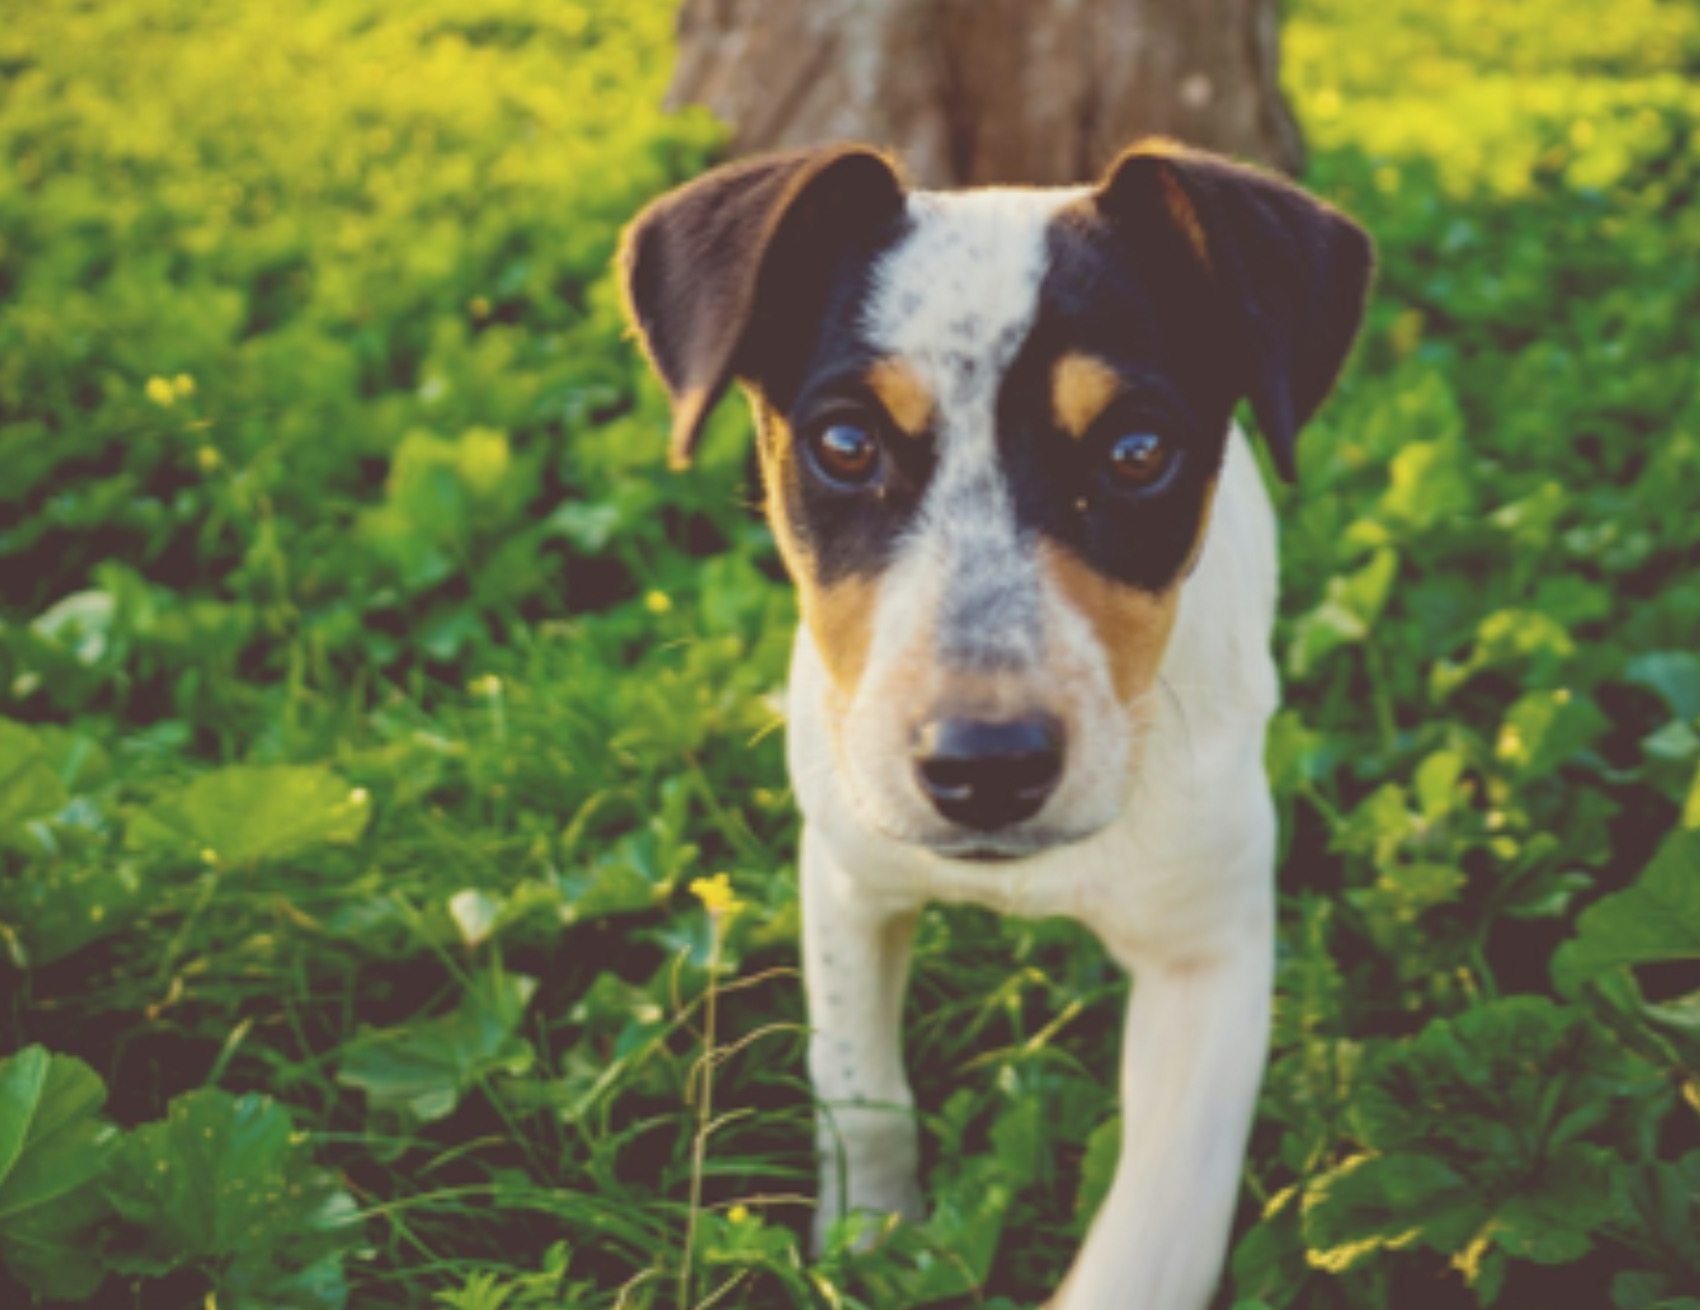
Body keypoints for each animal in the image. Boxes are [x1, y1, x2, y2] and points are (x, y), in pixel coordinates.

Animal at [618, 143, 1373, 1310]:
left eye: (1138, 450)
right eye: (845, 443)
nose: (985, 768)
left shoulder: (1211, 952)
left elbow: (1154, 1231)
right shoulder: (846, 874)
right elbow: (857, 1084)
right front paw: (871, 1240)